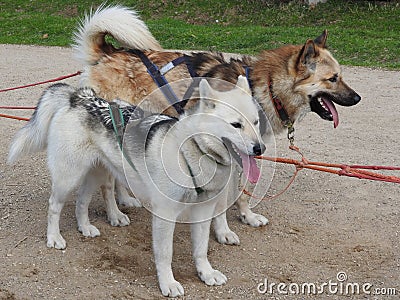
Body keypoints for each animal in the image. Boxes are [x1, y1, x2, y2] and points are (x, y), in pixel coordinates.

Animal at [7, 76, 264, 296]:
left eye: (256, 122)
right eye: (236, 125)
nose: (260, 148)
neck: (192, 152)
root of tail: (80, 97)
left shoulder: (203, 211)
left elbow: (200, 249)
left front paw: (206, 273)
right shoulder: (165, 215)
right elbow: (165, 254)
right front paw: (168, 283)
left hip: (95, 175)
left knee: (81, 202)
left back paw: (85, 227)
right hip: (68, 177)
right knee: (54, 206)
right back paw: (53, 237)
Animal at [72, 4, 362, 244]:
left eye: (341, 75)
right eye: (333, 78)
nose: (358, 98)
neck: (266, 86)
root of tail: (108, 53)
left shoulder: (247, 153)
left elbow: (245, 191)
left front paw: (247, 216)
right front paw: (223, 231)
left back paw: (126, 198)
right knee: (107, 181)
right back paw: (115, 213)